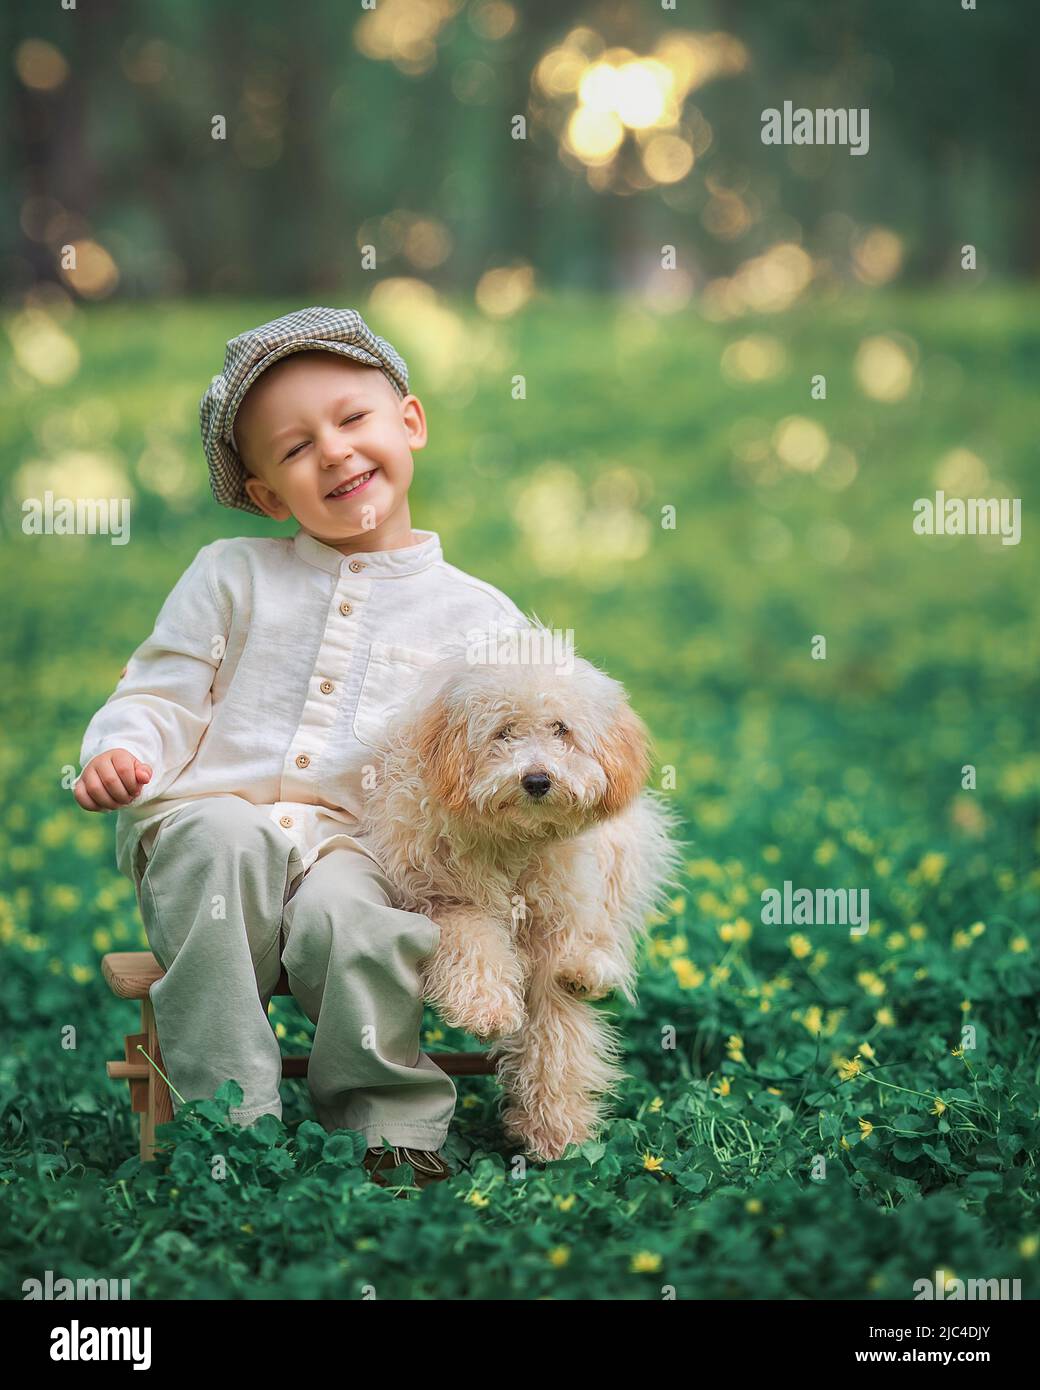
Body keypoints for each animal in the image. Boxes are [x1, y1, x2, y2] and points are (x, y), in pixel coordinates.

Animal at [358, 633, 681, 1162]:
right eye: (504, 731)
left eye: (561, 729)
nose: (537, 780)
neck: (516, 840)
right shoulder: (438, 899)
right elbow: (473, 941)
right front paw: (485, 1007)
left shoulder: (556, 918)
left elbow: (557, 1038)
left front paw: (557, 1132)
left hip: (621, 847)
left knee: (608, 919)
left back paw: (590, 966)